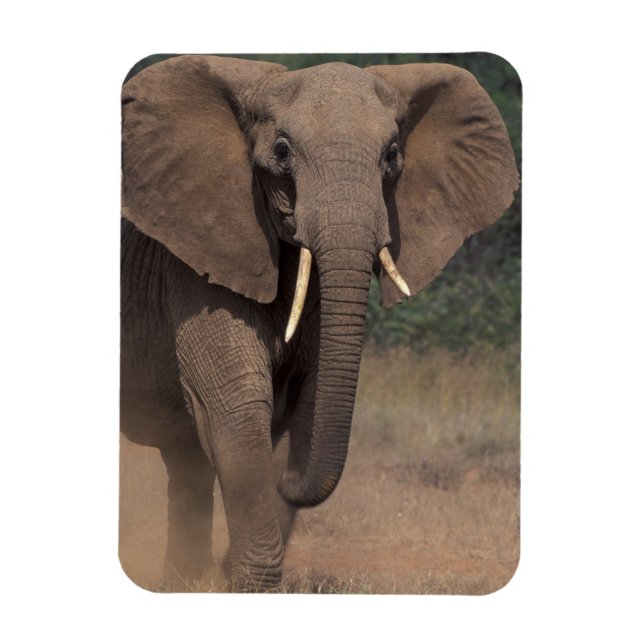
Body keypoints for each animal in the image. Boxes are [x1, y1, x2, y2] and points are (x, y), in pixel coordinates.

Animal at [120, 54, 519, 590]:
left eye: (392, 155)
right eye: (282, 151)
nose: (286, 479)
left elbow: (309, 405)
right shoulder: (193, 257)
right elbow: (237, 403)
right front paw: (247, 584)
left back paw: (183, 582)